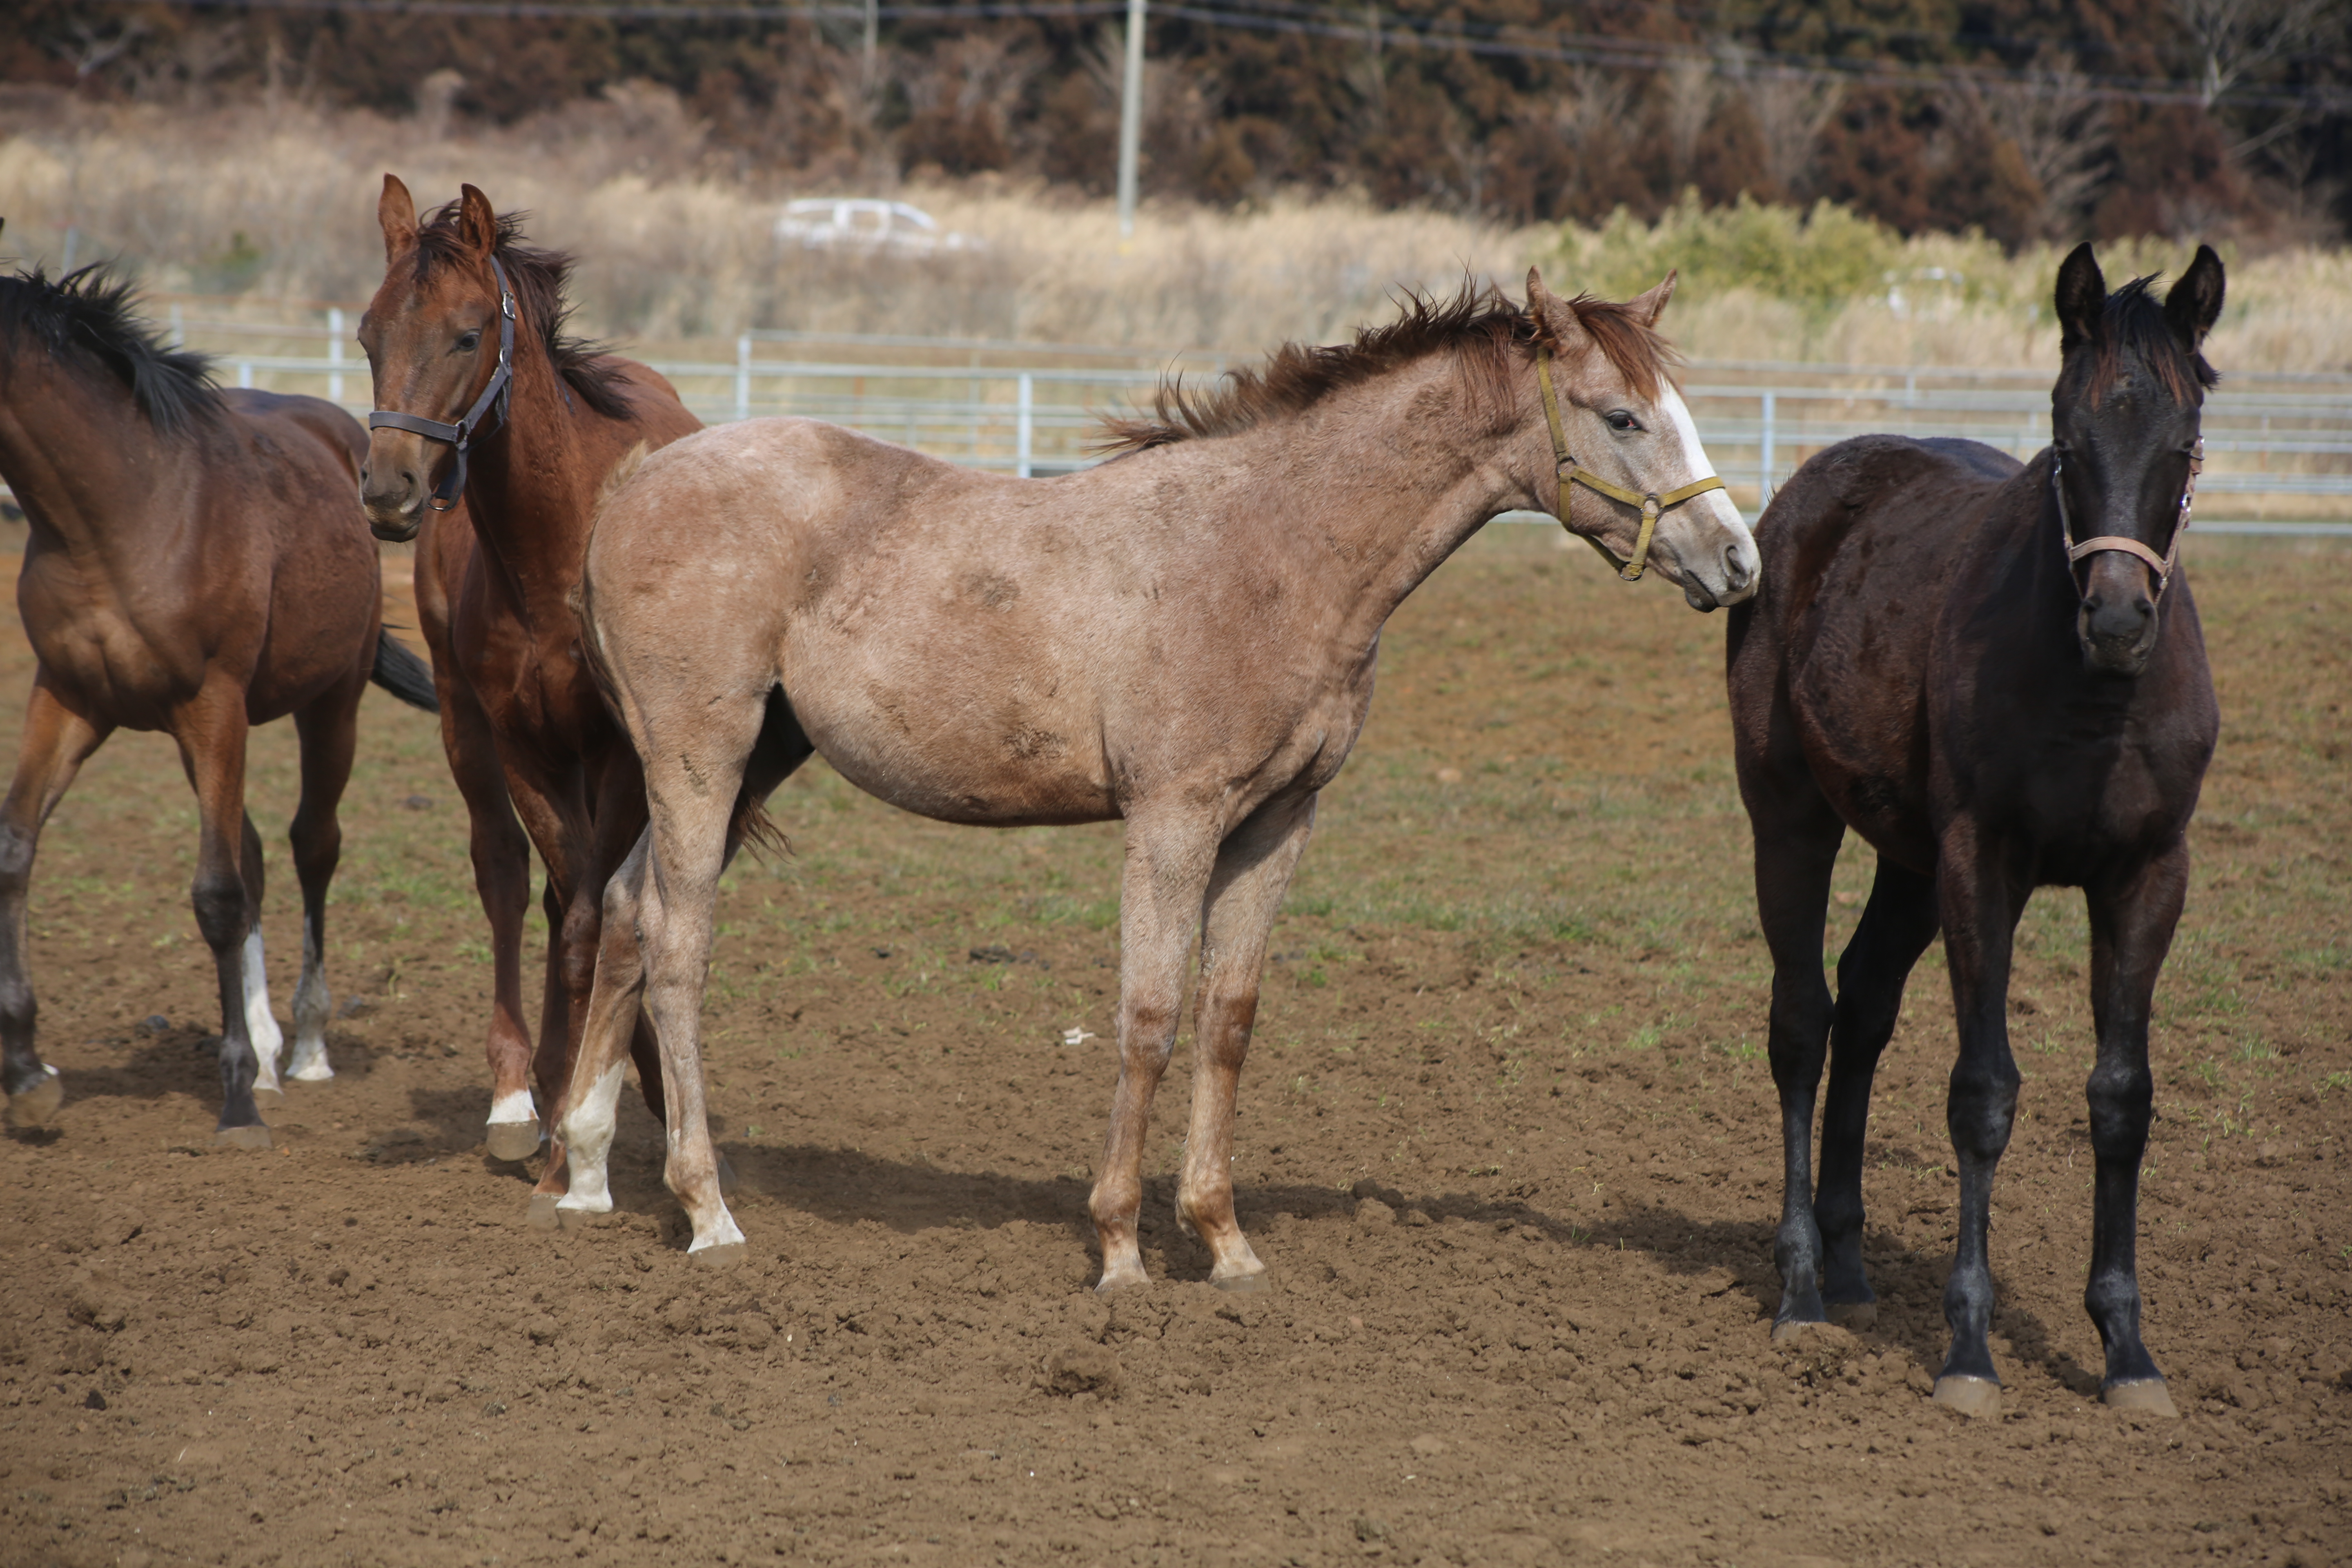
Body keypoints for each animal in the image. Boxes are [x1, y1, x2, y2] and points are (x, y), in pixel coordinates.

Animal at [0, 252, 437, 1147]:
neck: (120, 515)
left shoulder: (214, 703)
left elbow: (217, 894)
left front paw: (237, 1103)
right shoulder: (67, 698)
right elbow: (17, 848)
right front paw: (26, 1074)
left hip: (328, 705)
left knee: (312, 845)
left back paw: (305, 1047)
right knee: (259, 852)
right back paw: (269, 1048)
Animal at [348, 175, 696, 1203]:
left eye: (468, 335)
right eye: (369, 334)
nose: (389, 489)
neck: (556, 548)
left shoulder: (618, 754)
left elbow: (590, 915)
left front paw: (595, 1104)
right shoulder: (519, 742)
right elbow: (552, 894)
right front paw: (551, 1105)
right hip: (468, 727)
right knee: (507, 876)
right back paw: (520, 1095)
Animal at [559, 272, 1759, 1288]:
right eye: (1620, 416)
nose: (1737, 559)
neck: (1271, 552)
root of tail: (636, 482)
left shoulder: (1278, 823)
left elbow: (1228, 1017)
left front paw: (1224, 1242)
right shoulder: (1171, 819)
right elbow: (1149, 1015)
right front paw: (1121, 1249)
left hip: (752, 759)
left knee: (625, 911)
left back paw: (582, 1173)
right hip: (702, 755)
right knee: (679, 944)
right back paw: (707, 1211)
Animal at [1731, 245, 2220, 1420]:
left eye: (2184, 445)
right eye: (2067, 440)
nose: (2119, 618)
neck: (2093, 697)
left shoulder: (2149, 874)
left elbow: (2122, 1098)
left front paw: (2127, 1352)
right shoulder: (1981, 863)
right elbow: (1984, 1093)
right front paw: (1967, 1349)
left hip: (1907, 859)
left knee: (1864, 1003)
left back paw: (1853, 1268)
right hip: (1793, 816)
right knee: (1804, 1022)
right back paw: (1803, 1289)